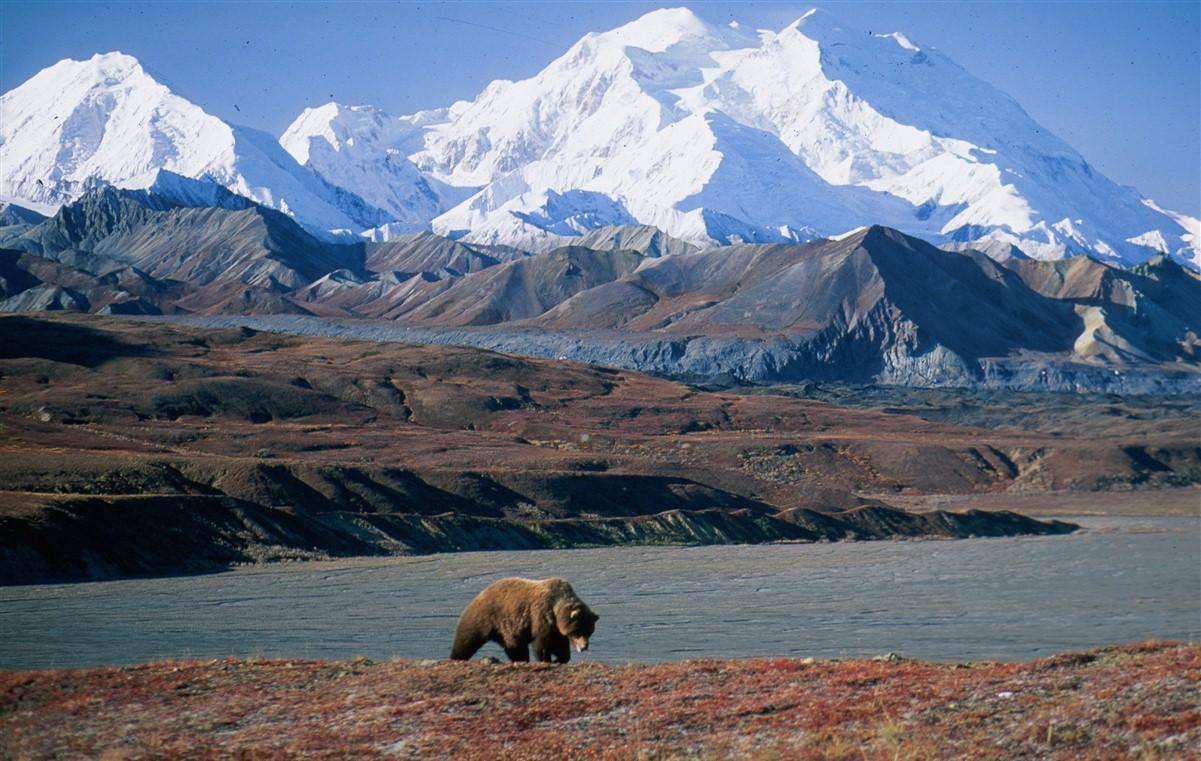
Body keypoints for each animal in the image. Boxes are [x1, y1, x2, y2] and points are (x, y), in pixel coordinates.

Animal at [449, 578, 598, 662]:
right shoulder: (542, 616)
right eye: (578, 631)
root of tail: (480, 594)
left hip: (508, 631)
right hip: (485, 617)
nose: (584, 647)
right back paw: (456, 657)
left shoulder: (556, 628)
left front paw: (561, 658)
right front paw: (547, 659)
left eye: (589, 632)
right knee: (467, 639)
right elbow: (542, 643)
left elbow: (559, 644)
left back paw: (521, 659)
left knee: (515, 647)